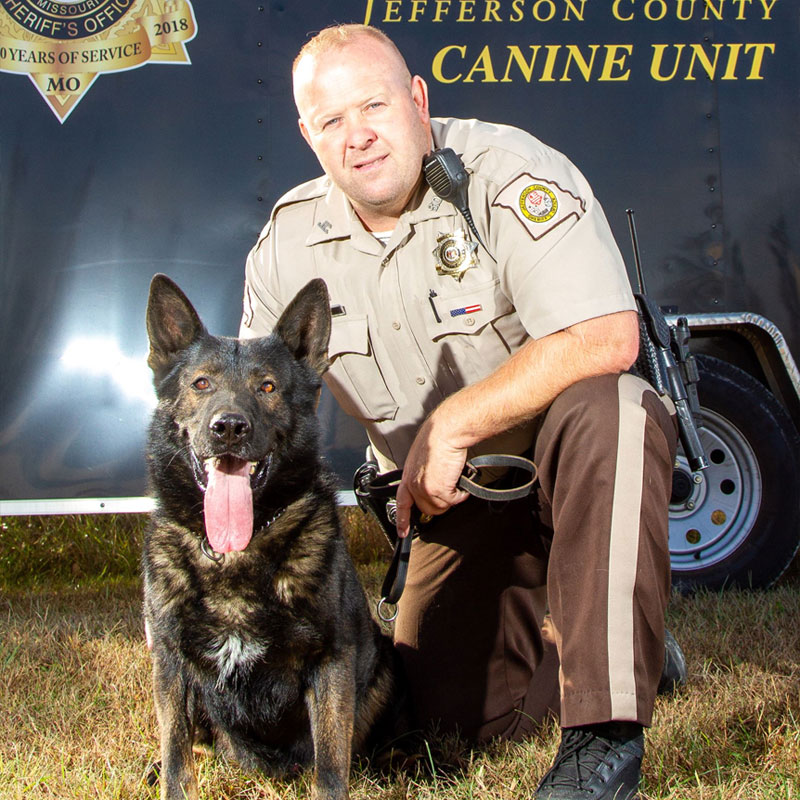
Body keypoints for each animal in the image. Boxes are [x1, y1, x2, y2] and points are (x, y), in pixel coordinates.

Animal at [141, 276, 404, 800]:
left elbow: (330, 767)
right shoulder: (170, 661)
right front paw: (171, 775)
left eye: (267, 387)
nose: (228, 427)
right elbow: (178, 760)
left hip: (382, 662)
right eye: (201, 384)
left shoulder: (331, 661)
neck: (235, 556)